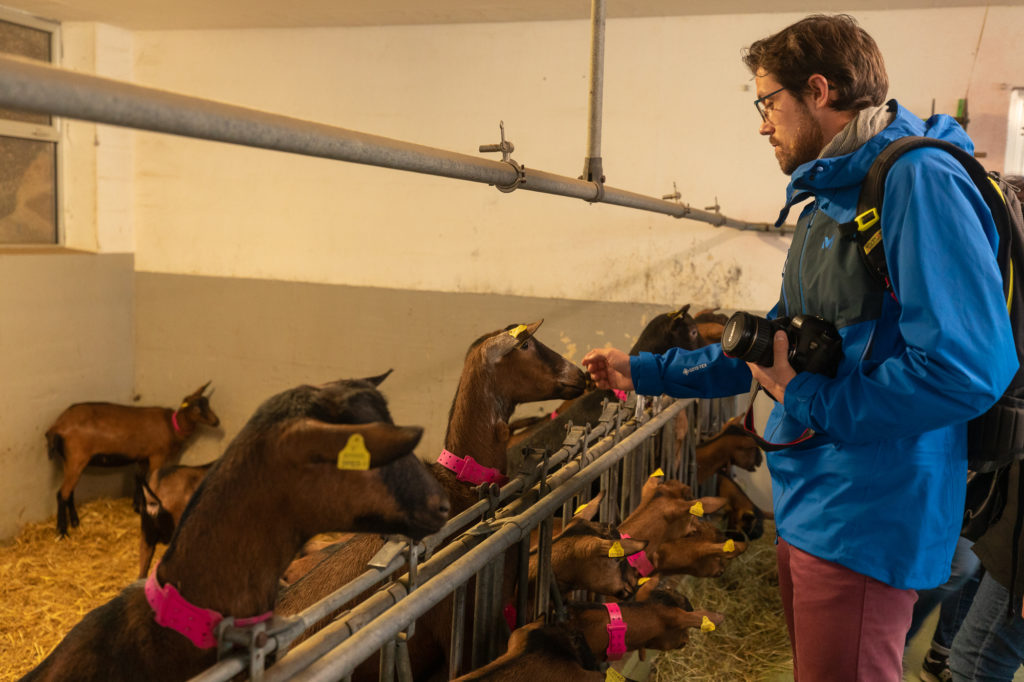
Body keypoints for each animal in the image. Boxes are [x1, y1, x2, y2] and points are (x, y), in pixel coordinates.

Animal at [46, 378, 220, 532]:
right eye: (197, 409)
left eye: (208, 404)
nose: (216, 422)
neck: (173, 427)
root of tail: (56, 426)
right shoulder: (157, 455)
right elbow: (151, 482)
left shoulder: (142, 457)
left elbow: (139, 479)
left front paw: (137, 507)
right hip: (77, 457)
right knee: (62, 494)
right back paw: (62, 530)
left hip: (69, 460)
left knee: (69, 492)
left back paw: (75, 522)